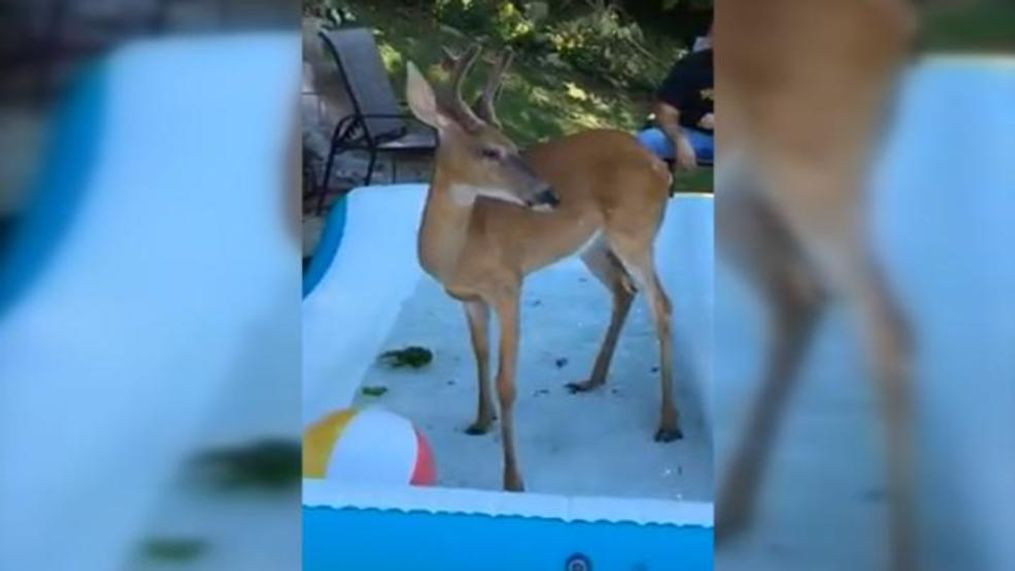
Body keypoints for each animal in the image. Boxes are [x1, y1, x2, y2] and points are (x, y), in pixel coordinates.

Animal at [403, 44, 682, 490]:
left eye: (514, 144)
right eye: (490, 151)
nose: (549, 195)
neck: (460, 252)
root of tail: (660, 165)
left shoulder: (509, 285)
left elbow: (506, 382)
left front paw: (513, 480)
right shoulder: (468, 299)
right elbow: (480, 356)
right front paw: (480, 421)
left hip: (635, 233)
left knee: (662, 305)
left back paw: (668, 423)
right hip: (593, 245)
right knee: (625, 290)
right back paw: (592, 379)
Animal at [714, 1, 921, 571]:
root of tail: (901, 24)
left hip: (814, 164)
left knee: (888, 326)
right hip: (747, 191)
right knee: (798, 296)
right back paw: (731, 507)